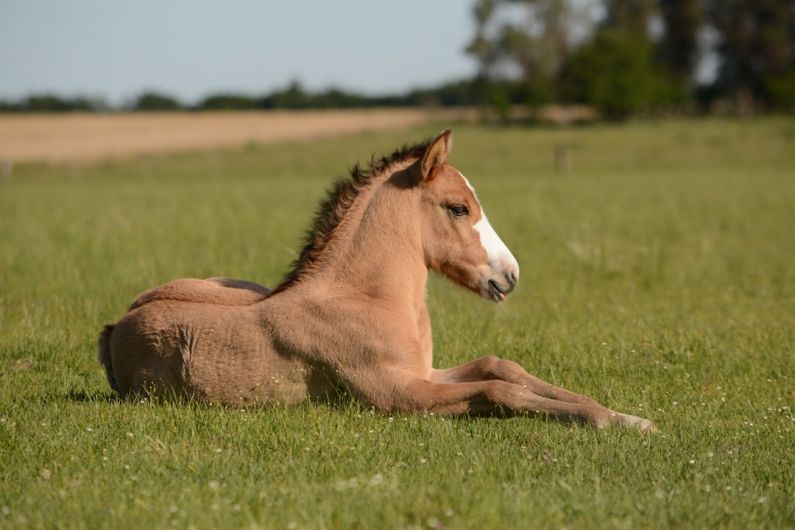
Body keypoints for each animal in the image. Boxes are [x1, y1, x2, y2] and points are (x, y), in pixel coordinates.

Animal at [98, 129, 656, 431]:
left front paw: (625, 415)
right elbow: (501, 391)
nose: (510, 275)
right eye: (458, 208)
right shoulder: (398, 394)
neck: (367, 299)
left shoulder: (425, 373)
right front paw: (615, 421)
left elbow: (503, 367)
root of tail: (115, 325)